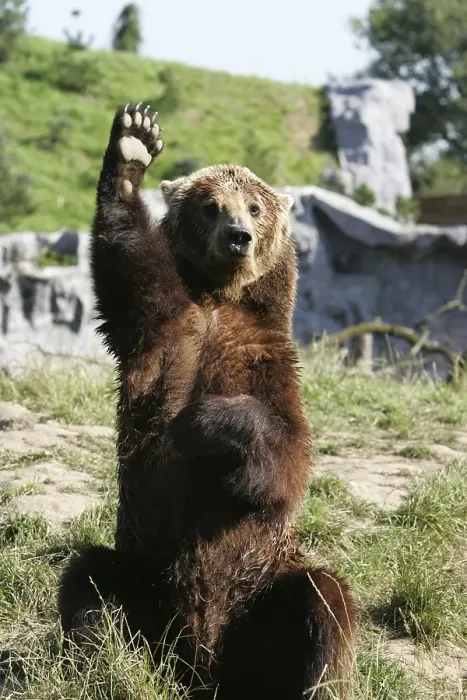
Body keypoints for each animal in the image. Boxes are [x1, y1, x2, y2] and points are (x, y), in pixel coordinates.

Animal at [58, 102, 356, 699]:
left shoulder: (264, 361)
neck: (220, 299)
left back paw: (309, 682)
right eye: (210, 205)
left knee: (320, 602)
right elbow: (127, 262)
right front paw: (133, 143)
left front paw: (199, 423)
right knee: (91, 582)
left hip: (263, 584)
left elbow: (285, 455)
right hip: (144, 571)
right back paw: (104, 662)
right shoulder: (159, 328)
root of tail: (202, 665)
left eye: (255, 206)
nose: (238, 236)